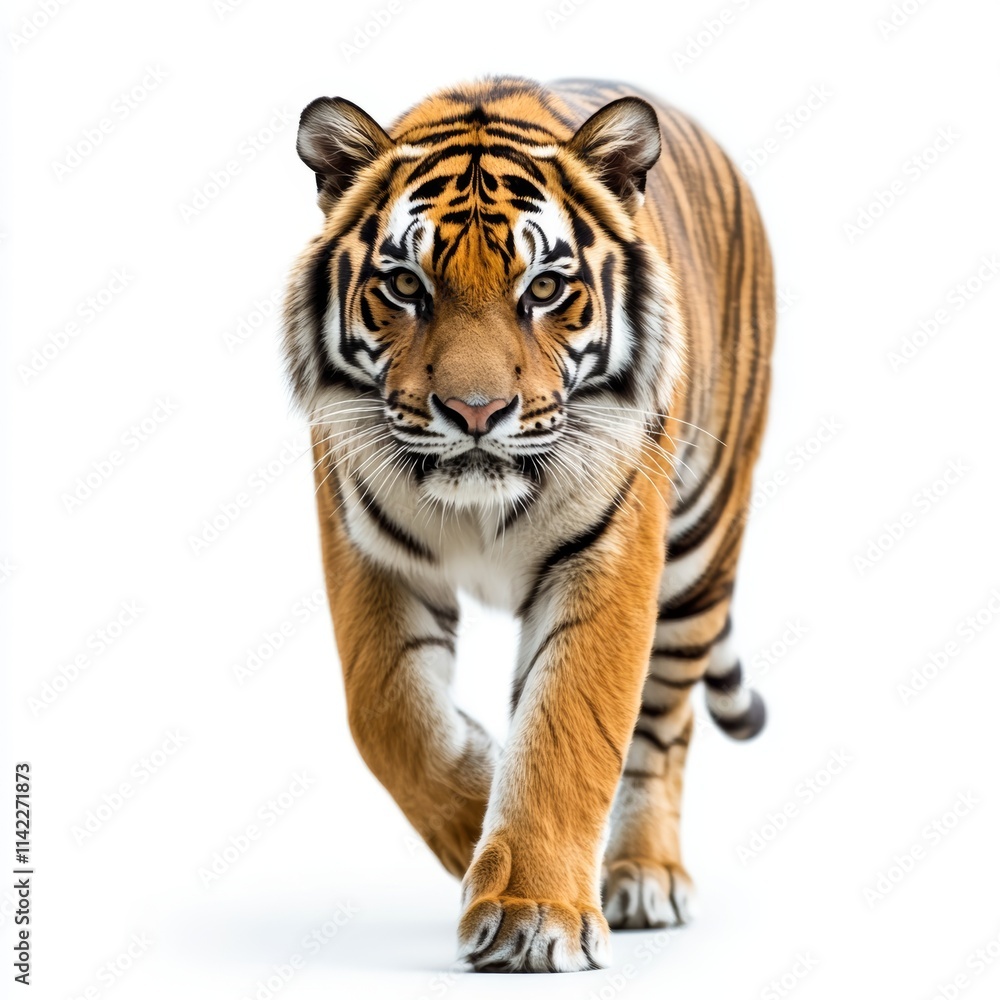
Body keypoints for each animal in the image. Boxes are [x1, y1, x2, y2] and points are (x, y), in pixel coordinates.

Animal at [282, 76, 774, 973]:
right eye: (405, 286)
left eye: (543, 289)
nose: (476, 412)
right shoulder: (367, 551)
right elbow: (388, 714)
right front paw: (478, 817)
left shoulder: (608, 557)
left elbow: (569, 728)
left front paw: (533, 913)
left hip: (700, 551)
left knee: (666, 726)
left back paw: (645, 874)